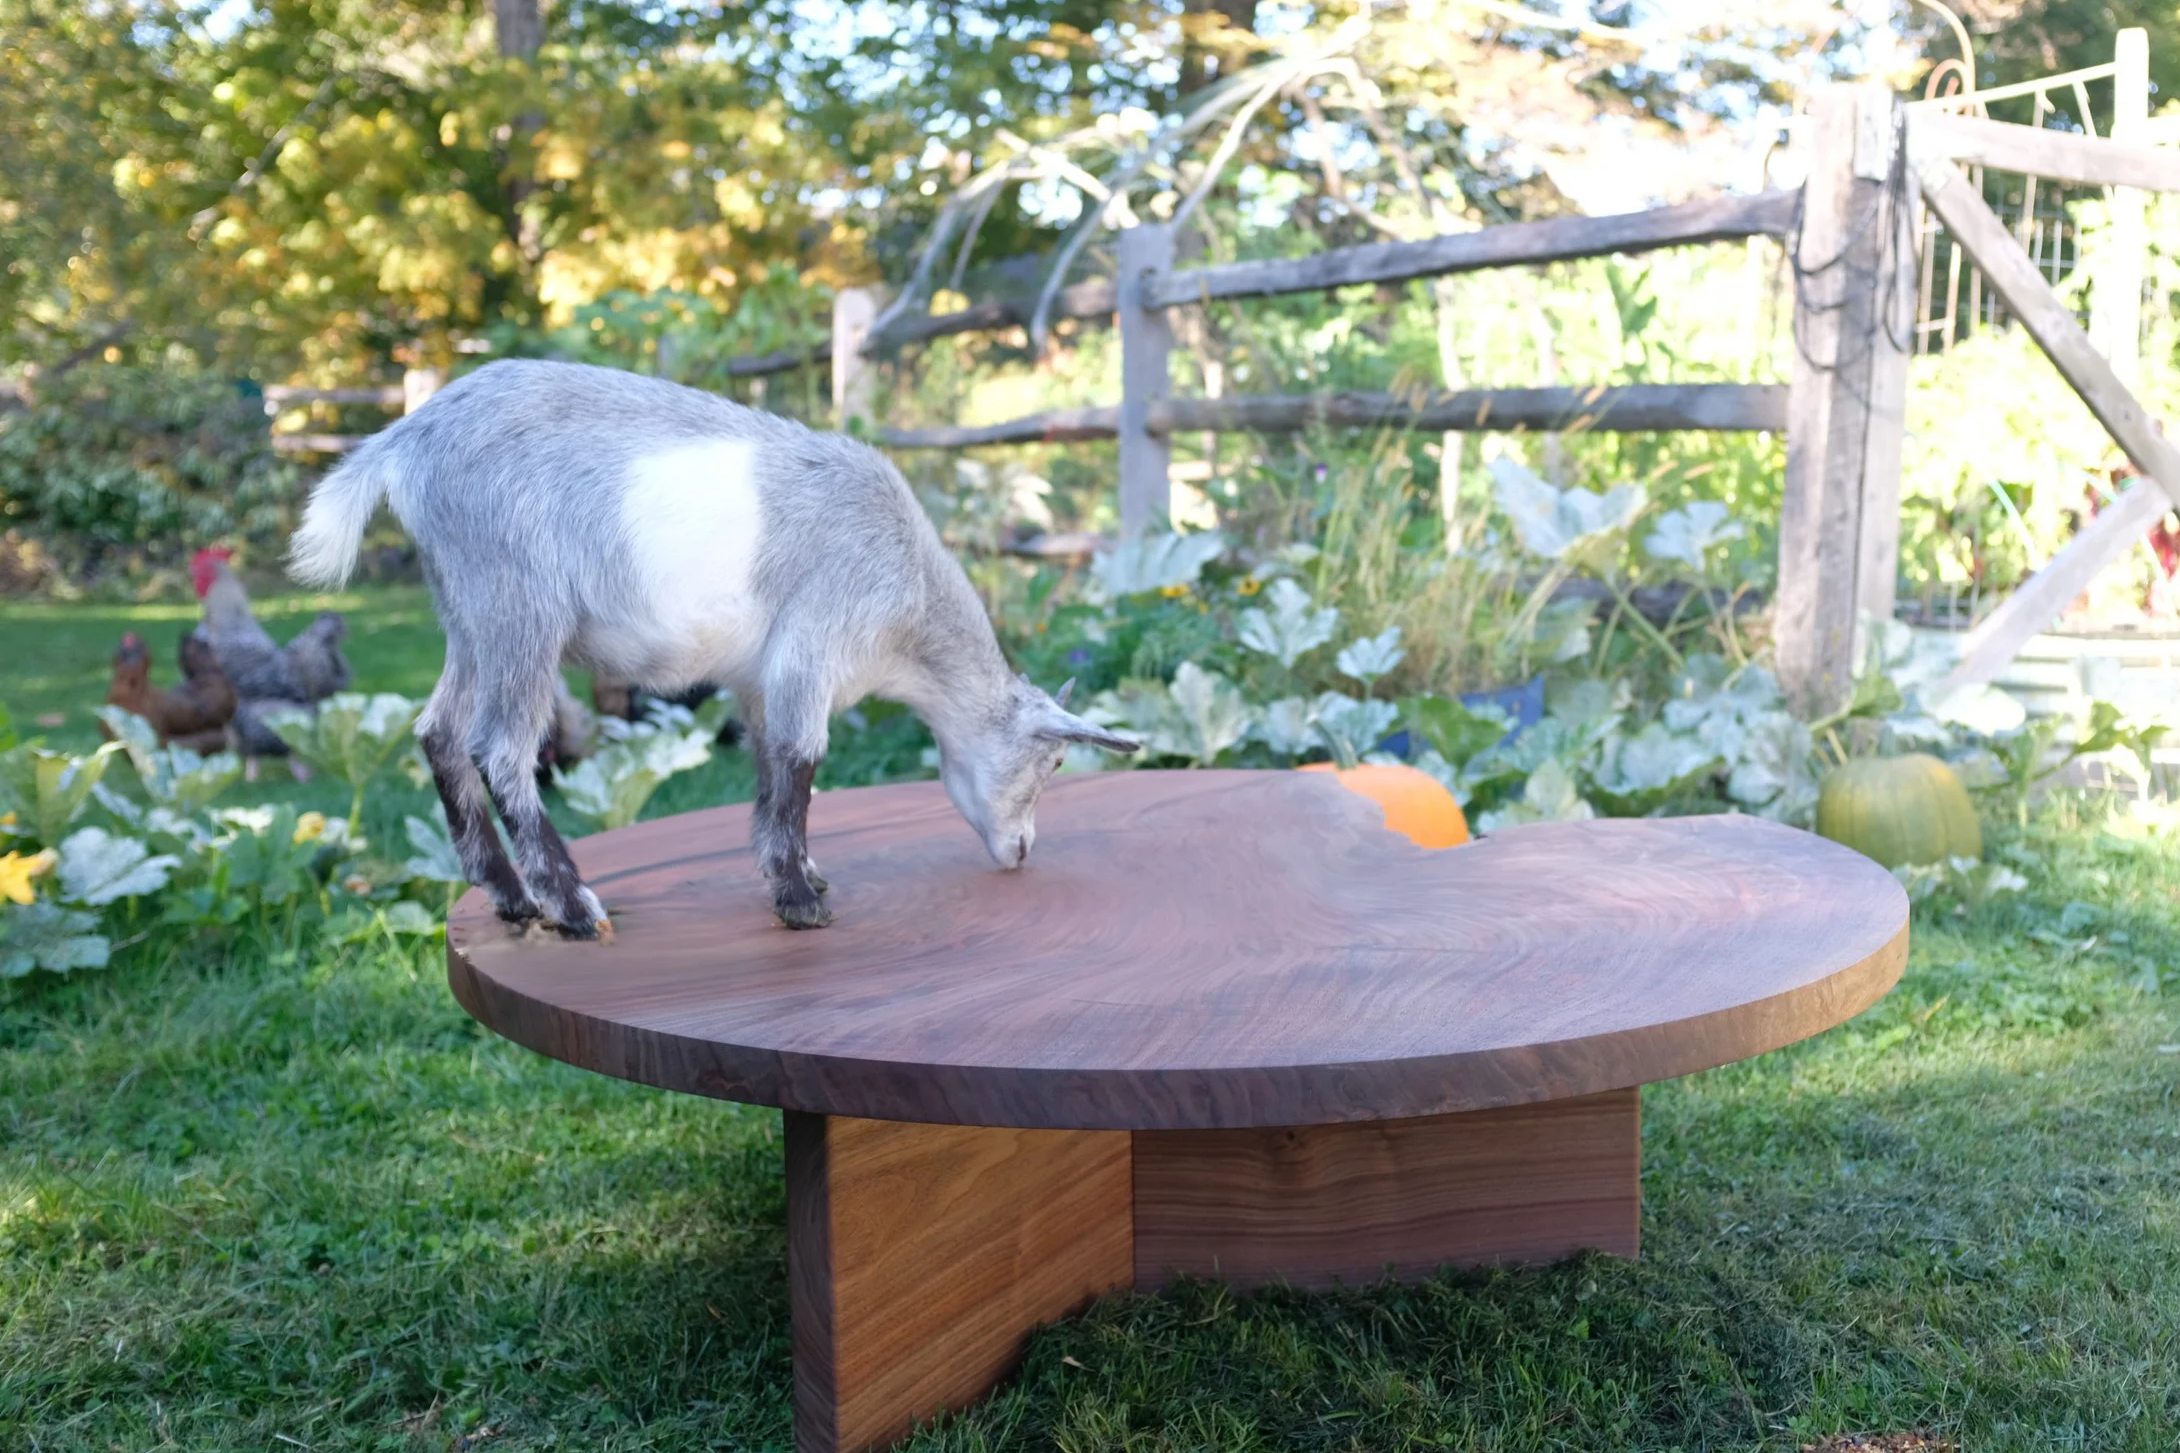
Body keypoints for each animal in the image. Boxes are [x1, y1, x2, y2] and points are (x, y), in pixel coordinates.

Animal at [287, 359, 1137, 937]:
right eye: (1057, 760)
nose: (1021, 849)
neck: (910, 594)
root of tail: (404, 439)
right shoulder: (813, 647)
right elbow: (801, 759)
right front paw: (800, 902)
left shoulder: (758, 679)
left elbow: (767, 768)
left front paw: (801, 874)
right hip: (519, 605)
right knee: (499, 746)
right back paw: (571, 905)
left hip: (468, 614)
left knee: (437, 730)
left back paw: (509, 895)